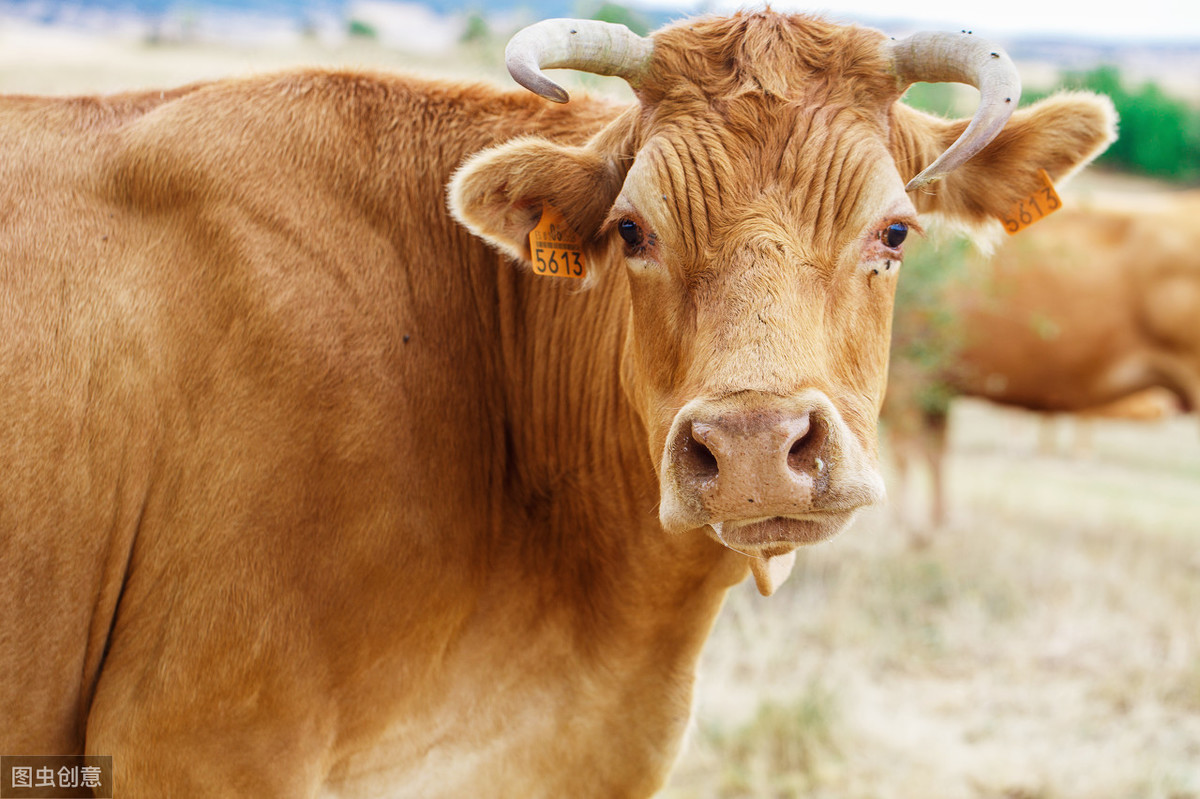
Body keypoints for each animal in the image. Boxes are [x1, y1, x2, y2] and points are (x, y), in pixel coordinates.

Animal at [883, 195, 1200, 525]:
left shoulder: (907, 372)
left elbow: (905, 451)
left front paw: (905, 523)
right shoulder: (937, 383)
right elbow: (935, 452)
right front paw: (937, 524)